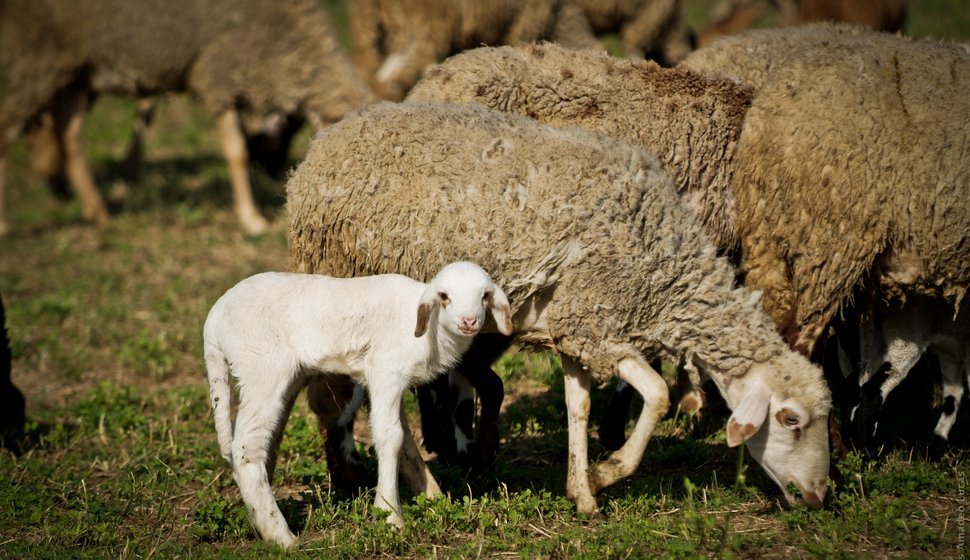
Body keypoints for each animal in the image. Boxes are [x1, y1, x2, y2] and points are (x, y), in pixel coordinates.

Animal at [0, 0, 375, 237]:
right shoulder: (218, 77)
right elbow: (236, 152)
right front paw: (252, 219)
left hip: (79, 72)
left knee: (69, 135)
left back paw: (99, 212)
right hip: (38, 58)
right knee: (7, 130)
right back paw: (6, 226)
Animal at [203, 260, 513, 547]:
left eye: (485, 295)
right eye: (444, 296)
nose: (469, 321)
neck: (429, 330)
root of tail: (212, 324)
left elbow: (406, 440)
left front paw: (432, 497)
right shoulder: (385, 372)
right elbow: (390, 437)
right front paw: (390, 516)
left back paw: (258, 521)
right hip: (263, 368)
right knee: (246, 447)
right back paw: (281, 537)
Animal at [288, 101, 833, 513]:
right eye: (791, 419)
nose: (819, 495)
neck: (662, 267)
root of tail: (317, 153)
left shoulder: (576, 328)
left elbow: (579, 405)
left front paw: (582, 492)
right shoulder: (596, 322)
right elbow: (657, 394)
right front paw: (608, 472)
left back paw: (424, 486)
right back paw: (391, 483)